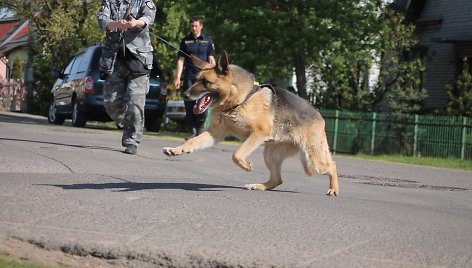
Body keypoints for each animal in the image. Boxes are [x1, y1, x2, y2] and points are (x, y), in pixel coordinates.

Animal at [163, 51, 340, 196]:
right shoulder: (215, 133)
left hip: (314, 159)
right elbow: (193, 141)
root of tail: (319, 115)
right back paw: (259, 186)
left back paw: (334, 189)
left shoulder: (258, 133)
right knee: (277, 179)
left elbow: (236, 154)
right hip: (270, 155)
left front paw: (246, 166)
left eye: (205, 81)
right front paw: (176, 149)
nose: (185, 95)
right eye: (195, 80)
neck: (239, 100)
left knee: (332, 165)